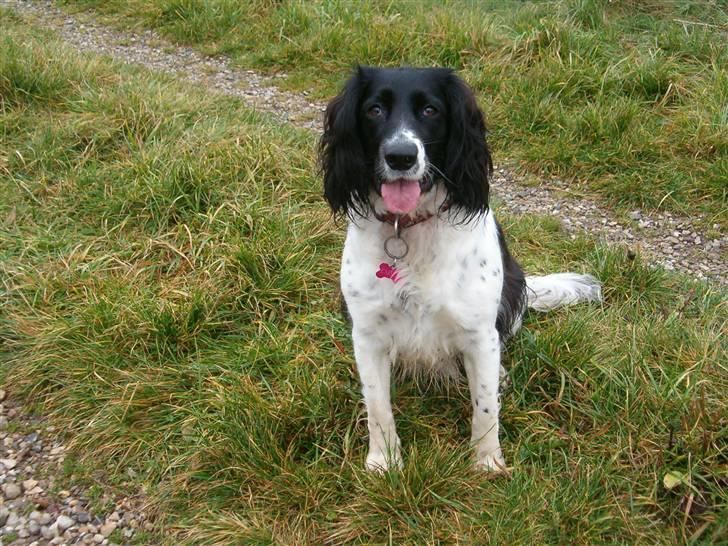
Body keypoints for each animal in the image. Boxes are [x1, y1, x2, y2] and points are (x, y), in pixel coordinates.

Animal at [322, 66, 600, 470]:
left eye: (430, 110)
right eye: (374, 109)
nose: (401, 156)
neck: (409, 229)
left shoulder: (478, 332)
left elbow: (485, 407)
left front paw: (487, 463)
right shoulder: (368, 334)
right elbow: (377, 405)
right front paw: (383, 462)